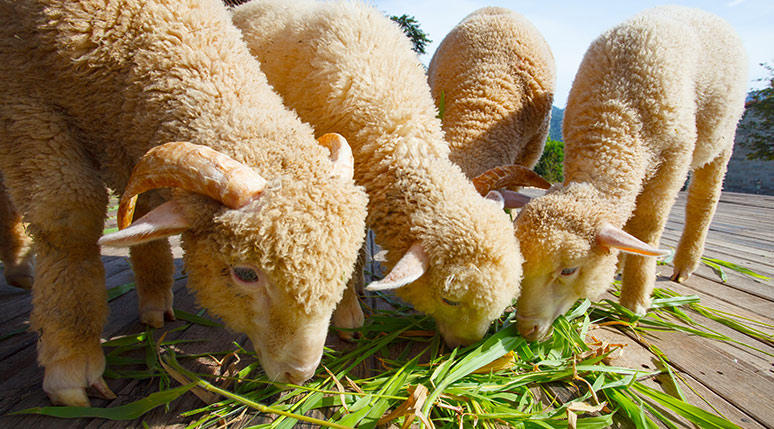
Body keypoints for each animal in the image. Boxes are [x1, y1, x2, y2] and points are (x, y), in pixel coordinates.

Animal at [0, 0, 370, 404]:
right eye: (245, 274)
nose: (298, 375)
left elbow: (144, 215)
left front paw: (153, 300)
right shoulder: (25, 104)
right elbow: (68, 220)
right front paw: (71, 357)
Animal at [512, 5, 748, 342]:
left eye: (569, 270)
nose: (525, 329)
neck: (614, 115)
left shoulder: (675, 156)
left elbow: (649, 224)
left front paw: (635, 302)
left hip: (722, 138)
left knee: (704, 199)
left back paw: (685, 264)